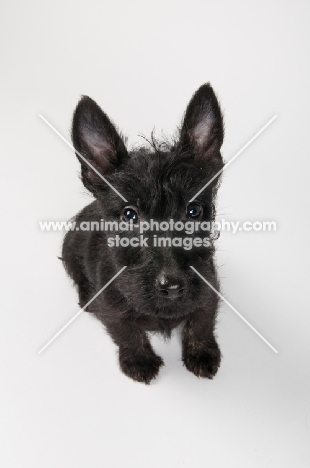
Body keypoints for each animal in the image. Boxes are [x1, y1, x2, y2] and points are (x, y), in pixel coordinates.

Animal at [62, 84, 223, 384]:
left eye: (194, 210)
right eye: (129, 215)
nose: (172, 287)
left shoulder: (209, 286)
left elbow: (202, 321)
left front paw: (201, 353)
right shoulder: (112, 307)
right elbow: (126, 331)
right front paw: (138, 360)